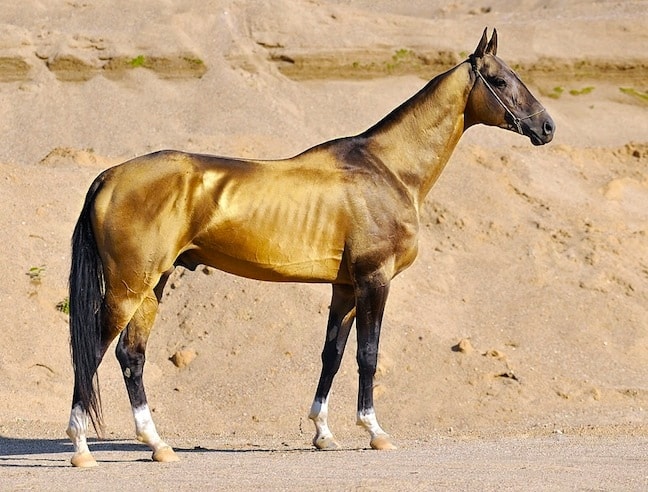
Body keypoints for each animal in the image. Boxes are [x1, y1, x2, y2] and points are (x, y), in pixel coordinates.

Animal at [66, 28, 556, 468]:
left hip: (153, 284)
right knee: (93, 351)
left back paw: (158, 445)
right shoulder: (374, 280)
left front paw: (323, 432)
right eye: (502, 80)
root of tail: (109, 176)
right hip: (129, 287)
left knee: (131, 354)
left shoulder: (345, 288)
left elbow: (332, 355)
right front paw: (374, 432)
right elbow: (367, 355)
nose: (547, 126)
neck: (388, 169)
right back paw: (82, 449)